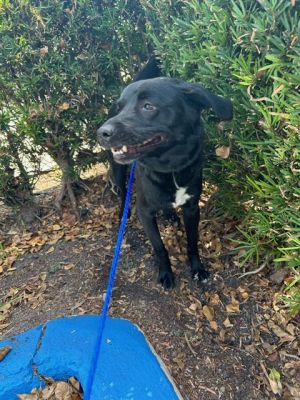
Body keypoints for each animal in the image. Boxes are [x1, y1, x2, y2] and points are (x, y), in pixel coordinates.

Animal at [97, 69, 233, 290]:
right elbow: (159, 246)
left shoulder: (192, 208)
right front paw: (166, 273)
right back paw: (123, 215)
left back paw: (169, 215)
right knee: (122, 192)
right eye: (121, 108)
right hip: (118, 170)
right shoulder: (144, 212)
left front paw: (197, 268)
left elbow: (192, 241)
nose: (102, 133)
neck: (170, 168)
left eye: (148, 106)